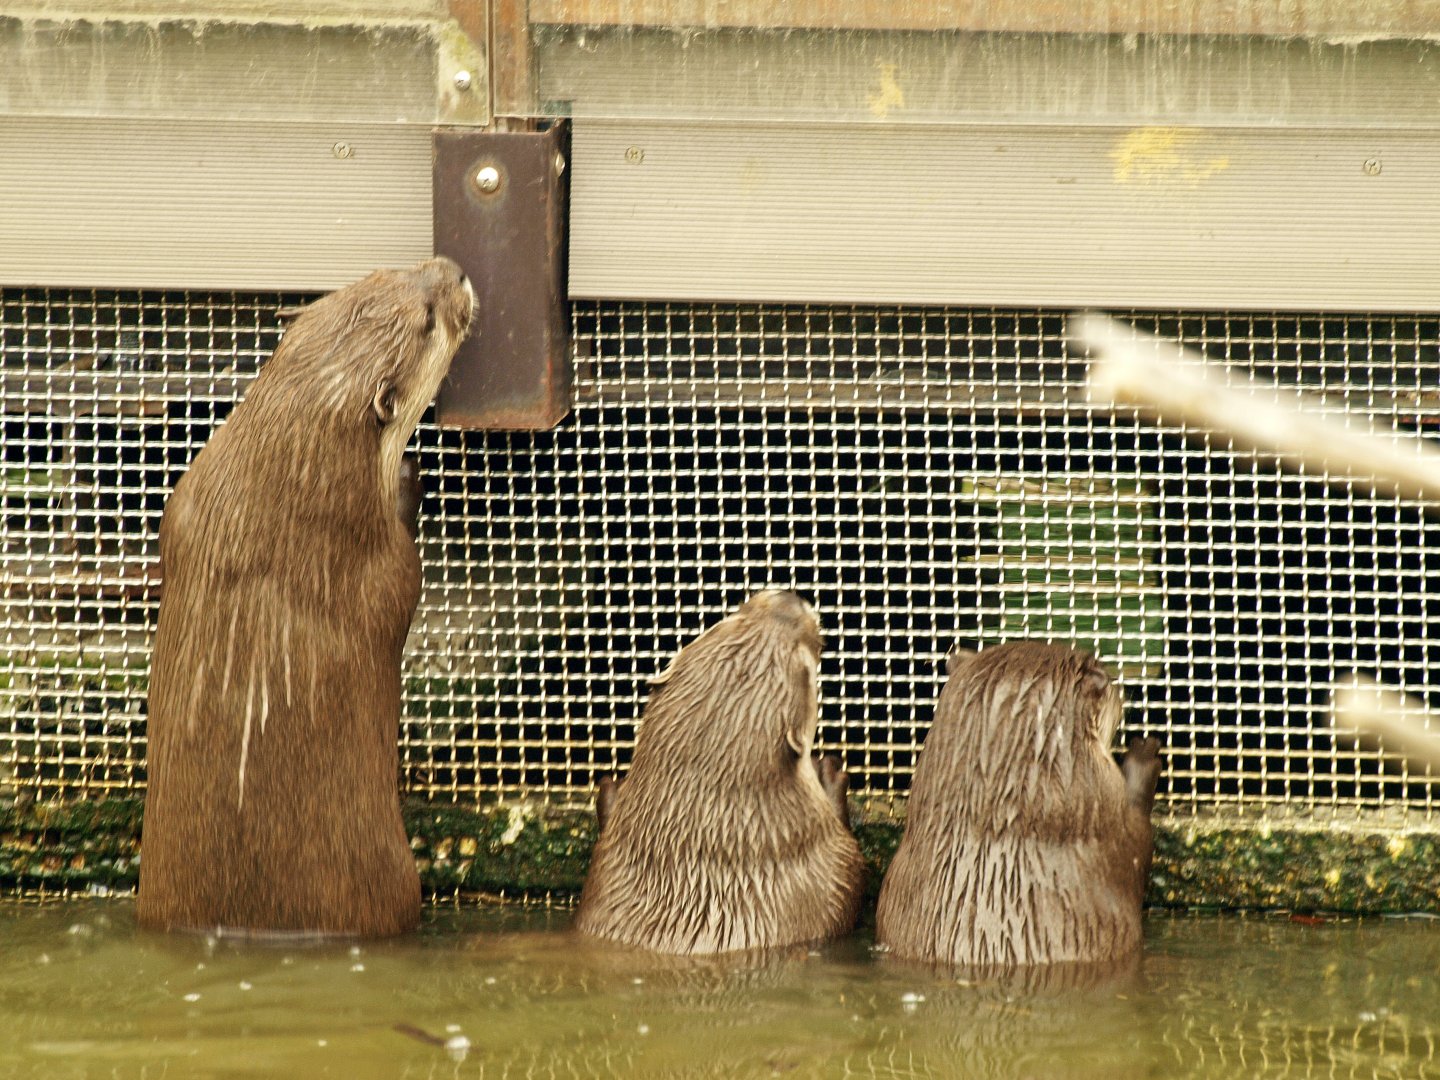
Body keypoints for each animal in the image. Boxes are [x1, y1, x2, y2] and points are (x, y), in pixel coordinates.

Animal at [137, 257, 475, 937]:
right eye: (429, 321)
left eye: (387, 271)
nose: (451, 270)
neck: (267, 496)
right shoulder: (379, 569)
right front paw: (408, 478)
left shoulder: (184, 502)